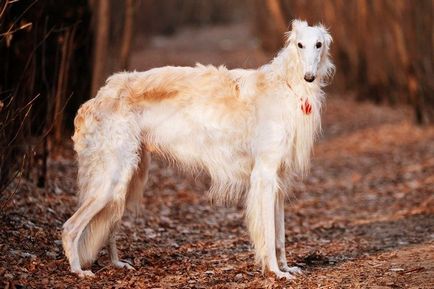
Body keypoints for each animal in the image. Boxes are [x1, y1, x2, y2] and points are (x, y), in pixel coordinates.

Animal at [61, 18, 334, 280]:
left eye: (318, 44)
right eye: (300, 45)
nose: (309, 76)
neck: (287, 86)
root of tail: (95, 99)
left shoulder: (279, 179)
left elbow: (280, 235)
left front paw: (286, 268)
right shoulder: (264, 175)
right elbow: (268, 234)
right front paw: (275, 271)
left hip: (129, 177)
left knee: (107, 226)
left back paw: (117, 263)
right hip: (112, 178)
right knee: (70, 227)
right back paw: (77, 270)